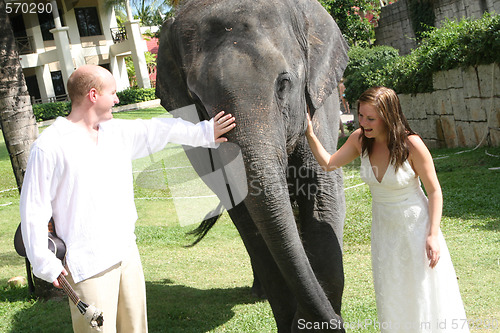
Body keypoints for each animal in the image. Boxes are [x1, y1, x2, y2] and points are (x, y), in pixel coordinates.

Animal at [155, 0, 348, 330]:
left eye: (284, 84)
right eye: (198, 103)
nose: (337, 322)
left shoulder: (319, 105)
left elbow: (322, 195)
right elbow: (249, 220)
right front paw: (296, 321)